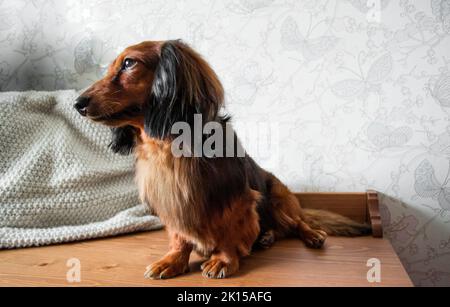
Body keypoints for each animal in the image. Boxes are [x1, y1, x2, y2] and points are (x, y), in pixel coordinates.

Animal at [74, 39, 370, 280]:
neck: (169, 148)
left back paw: (310, 234)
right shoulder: (171, 201)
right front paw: (173, 260)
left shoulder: (236, 200)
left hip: (278, 197)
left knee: (297, 223)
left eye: (129, 63)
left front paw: (223, 260)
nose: (78, 103)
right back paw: (266, 236)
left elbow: (230, 231)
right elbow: (179, 237)